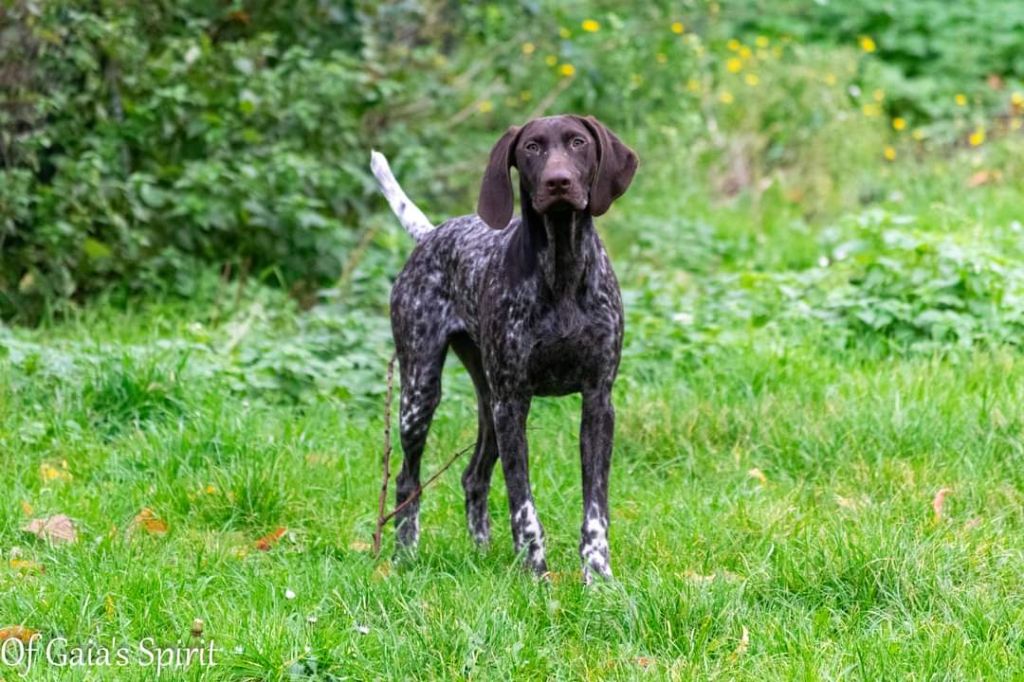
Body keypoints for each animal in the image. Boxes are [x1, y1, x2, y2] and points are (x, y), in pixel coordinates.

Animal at [372, 114, 634, 581]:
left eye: (579, 142)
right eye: (532, 147)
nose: (558, 181)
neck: (562, 270)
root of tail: (430, 235)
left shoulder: (598, 402)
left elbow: (595, 509)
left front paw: (598, 574)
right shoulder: (513, 404)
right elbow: (523, 506)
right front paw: (536, 574)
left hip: (488, 405)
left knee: (473, 477)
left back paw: (483, 552)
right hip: (422, 394)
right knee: (407, 481)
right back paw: (405, 554)